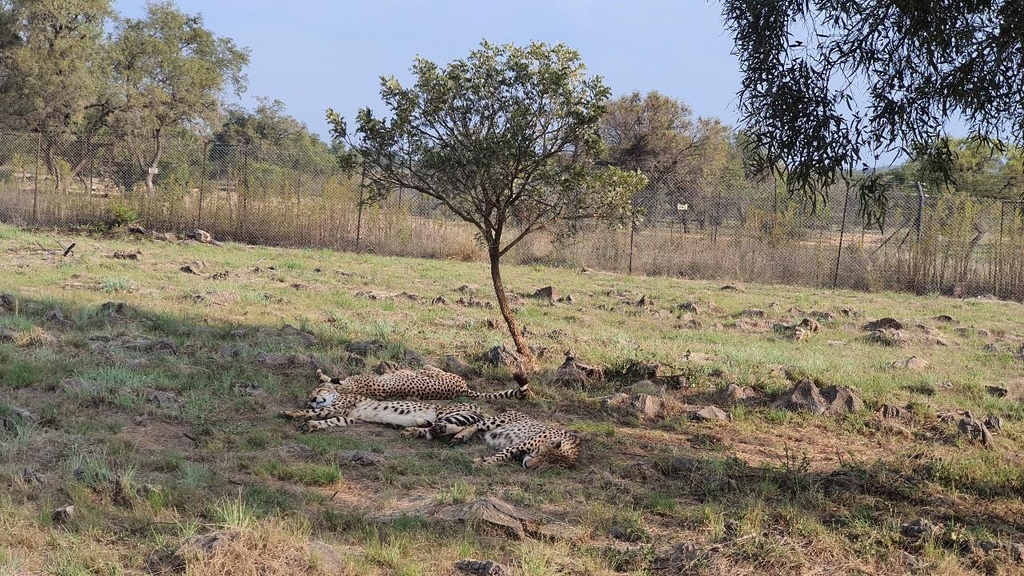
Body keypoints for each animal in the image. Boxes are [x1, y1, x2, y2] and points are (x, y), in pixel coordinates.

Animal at [428, 407, 581, 467]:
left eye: (544, 465)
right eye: (539, 453)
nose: (527, 465)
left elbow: (502, 456)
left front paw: (482, 460)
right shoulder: (519, 445)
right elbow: (501, 455)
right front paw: (484, 463)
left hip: (483, 433)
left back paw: (451, 433)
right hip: (497, 421)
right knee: (475, 424)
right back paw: (450, 432)